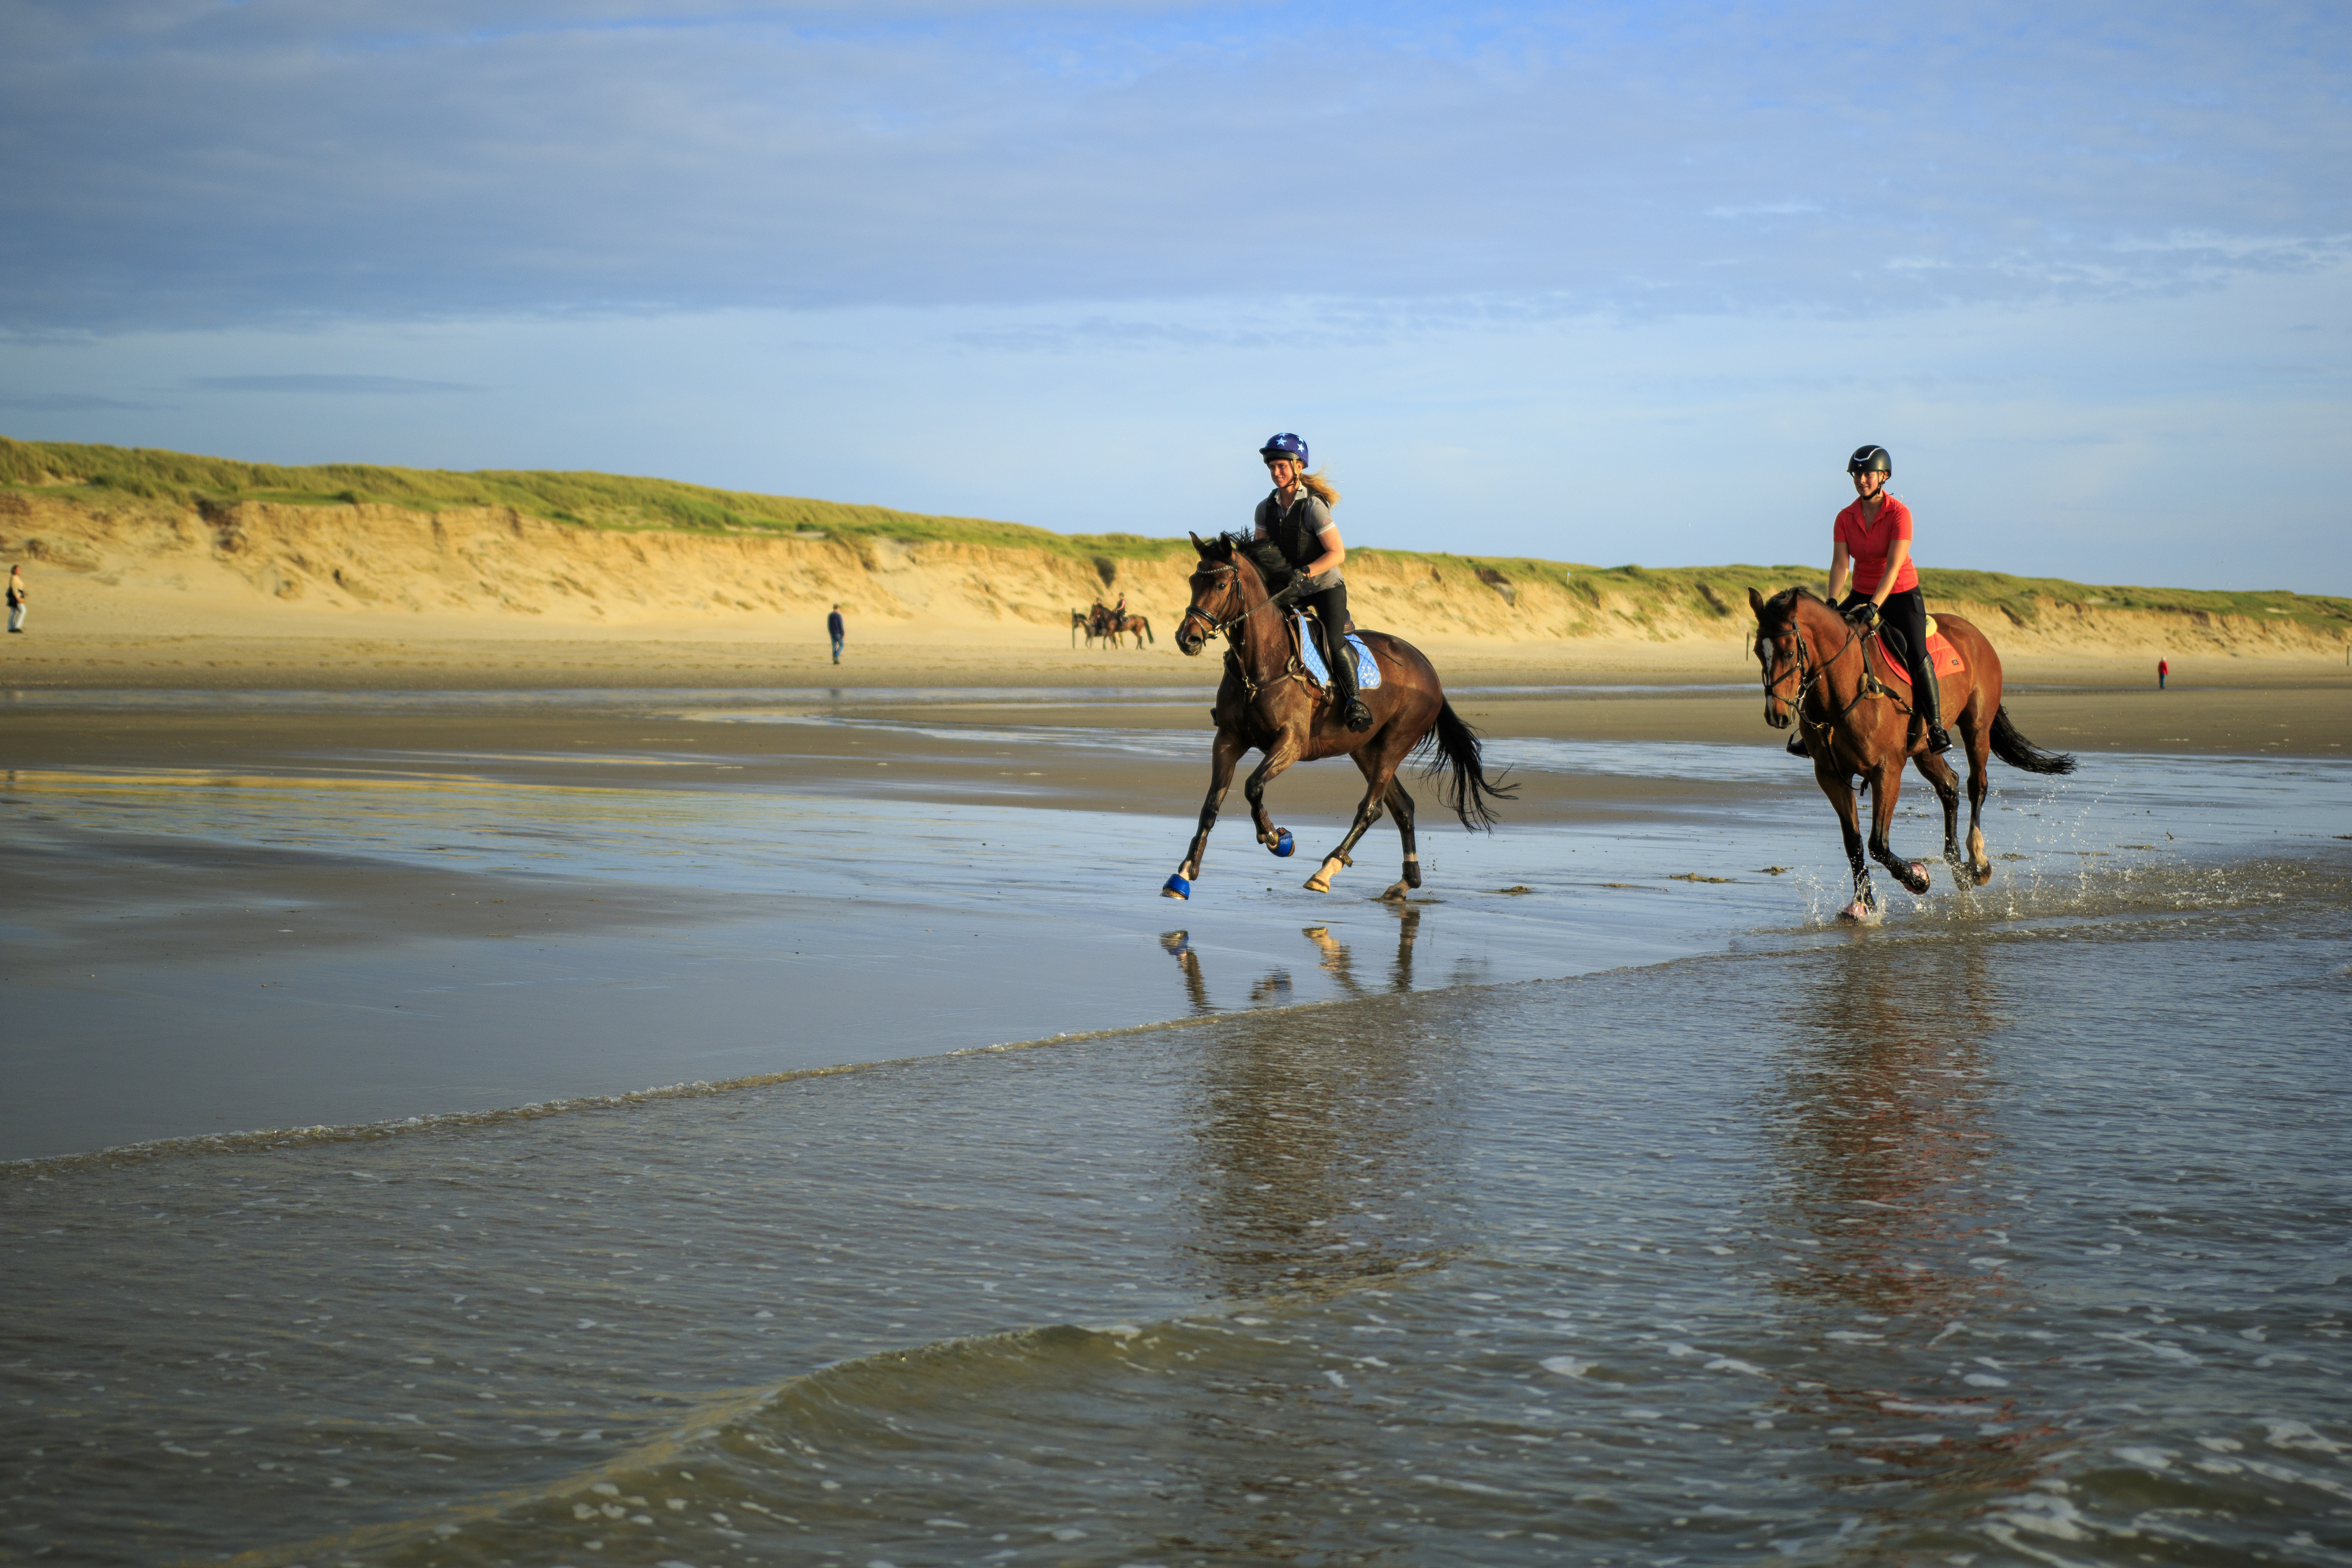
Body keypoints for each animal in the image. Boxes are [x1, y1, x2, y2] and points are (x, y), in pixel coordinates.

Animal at [1157, 531, 1505, 903]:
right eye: (1193, 581)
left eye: (1222, 584)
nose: (1187, 638)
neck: (1261, 665)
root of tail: (1428, 669)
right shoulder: (1228, 740)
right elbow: (1211, 805)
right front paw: (1183, 874)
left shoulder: (1291, 744)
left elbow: (1253, 787)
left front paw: (1278, 839)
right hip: (1364, 749)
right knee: (1402, 806)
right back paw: (1405, 882)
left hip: (1396, 743)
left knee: (1371, 807)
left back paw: (1326, 871)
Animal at [1750, 594, 2079, 926]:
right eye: (1757, 652)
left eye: (1790, 652)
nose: (1776, 715)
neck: (1845, 686)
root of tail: (1974, 632)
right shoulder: (1830, 776)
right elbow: (1854, 843)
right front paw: (1863, 904)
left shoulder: (1887, 771)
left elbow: (1878, 845)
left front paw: (1918, 879)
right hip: (1924, 749)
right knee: (1949, 786)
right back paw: (1958, 869)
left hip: (1977, 727)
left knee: (1977, 785)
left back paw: (1978, 862)